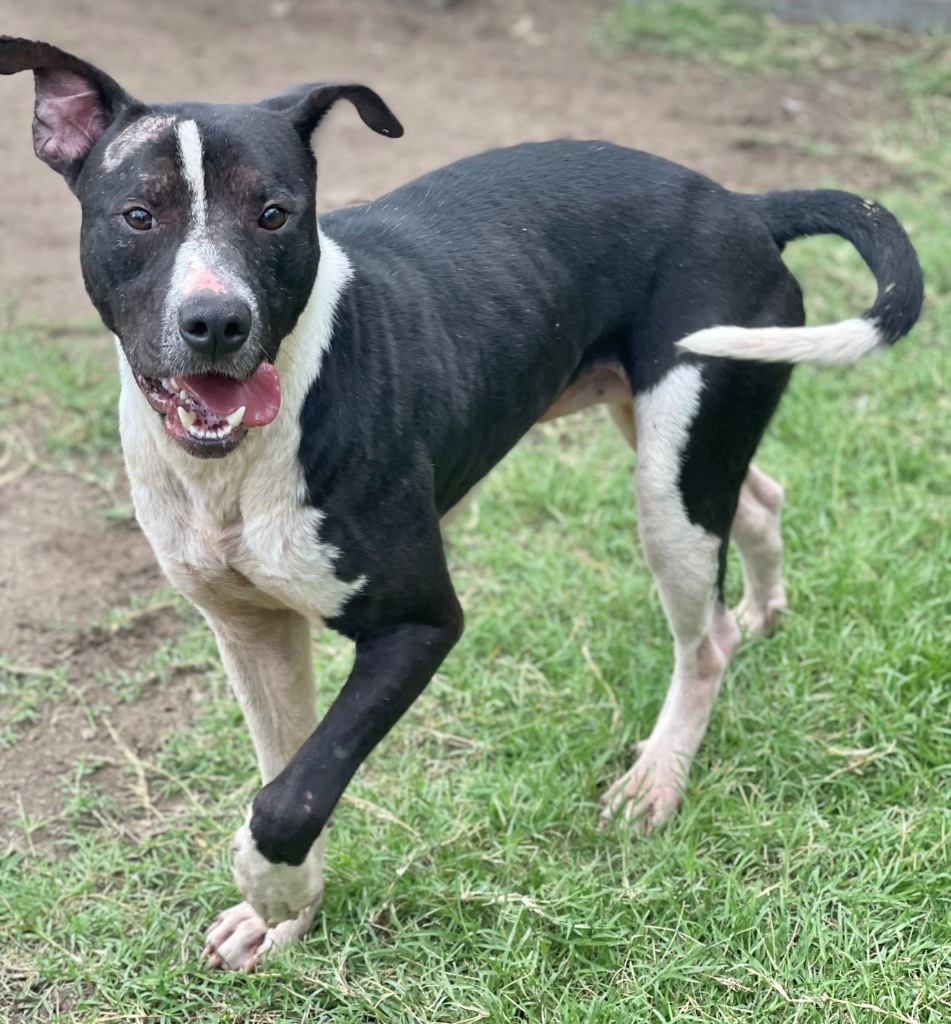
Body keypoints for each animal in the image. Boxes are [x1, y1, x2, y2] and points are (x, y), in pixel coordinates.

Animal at [0, 37, 921, 966]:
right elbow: (288, 764)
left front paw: (270, 886)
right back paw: (765, 608)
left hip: (669, 490)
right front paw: (283, 915)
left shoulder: (419, 626)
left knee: (706, 639)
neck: (240, 458)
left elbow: (293, 794)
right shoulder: (249, 629)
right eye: (137, 215)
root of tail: (742, 204)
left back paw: (656, 777)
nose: (216, 321)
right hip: (678, 434)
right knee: (757, 500)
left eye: (274, 214)